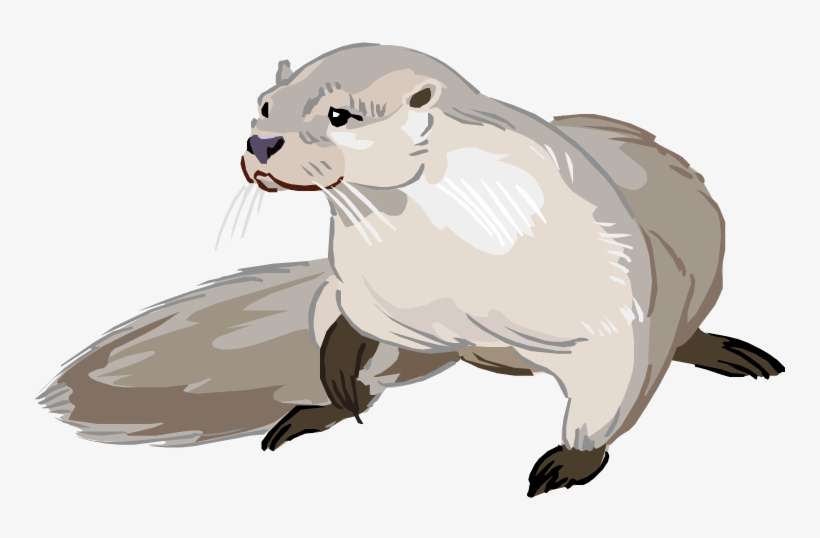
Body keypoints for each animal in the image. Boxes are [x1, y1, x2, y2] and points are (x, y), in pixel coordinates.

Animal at [40, 43, 784, 497]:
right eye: (263, 104)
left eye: (340, 115)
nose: (261, 142)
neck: (453, 265)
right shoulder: (365, 290)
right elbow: (334, 321)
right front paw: (333, 390)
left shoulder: (612, 309)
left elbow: (612, 389)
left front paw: (568, 461)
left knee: (682, 334)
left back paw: (732, 352)